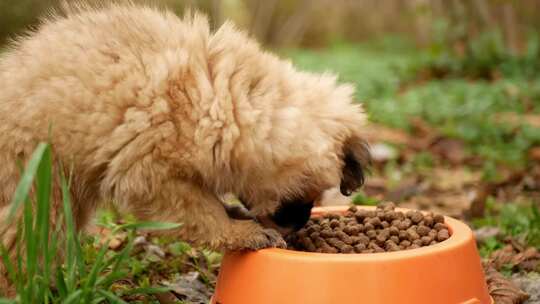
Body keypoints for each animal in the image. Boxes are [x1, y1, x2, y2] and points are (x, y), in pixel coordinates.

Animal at [0, 1, 368, 268]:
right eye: (310, 190)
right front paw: (241, 232)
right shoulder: (153, 177)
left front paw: (237, 216)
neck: (222, 101)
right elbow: (203, 214)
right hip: (34, 187)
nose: (301, 223)